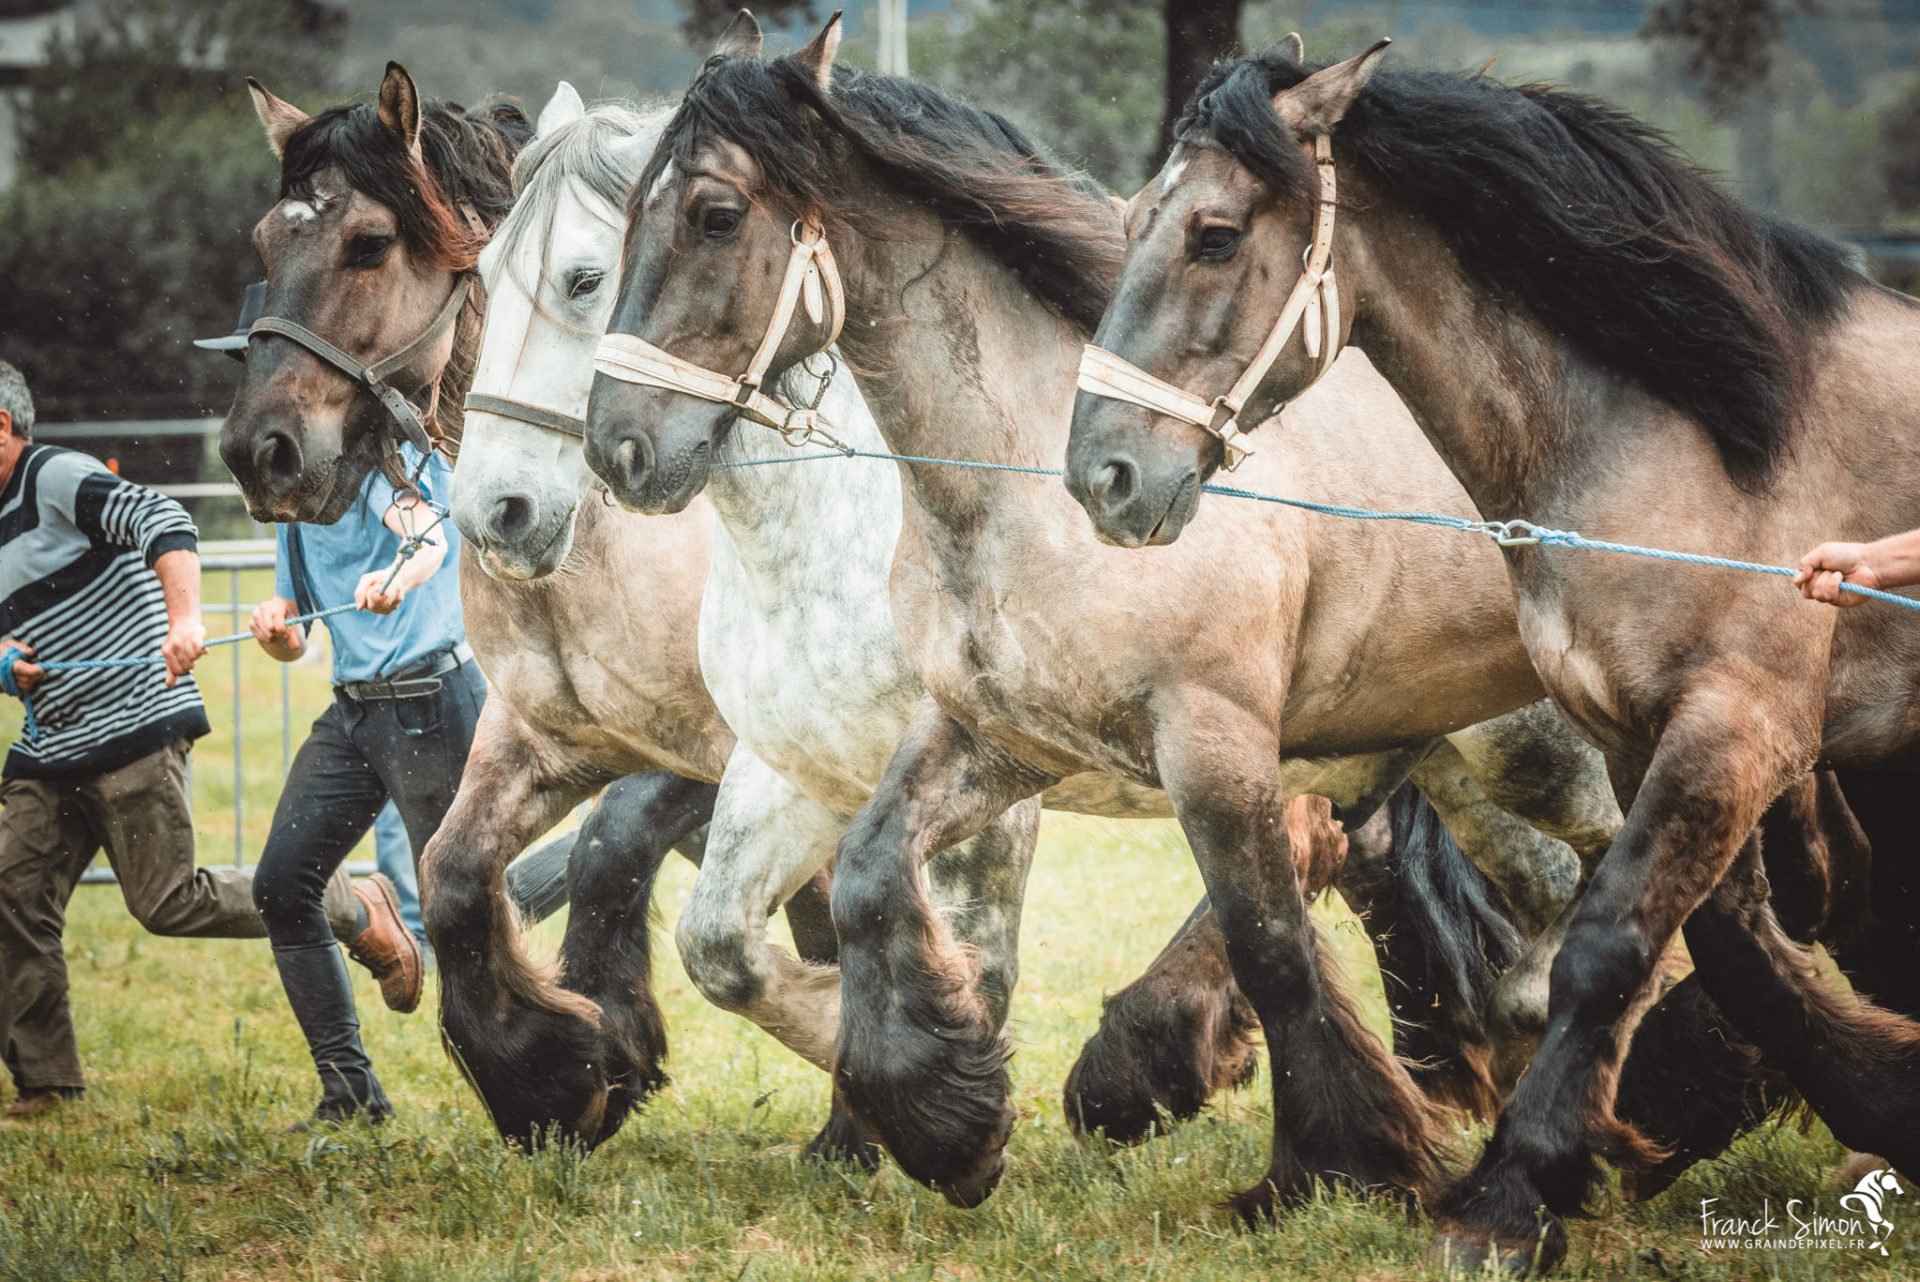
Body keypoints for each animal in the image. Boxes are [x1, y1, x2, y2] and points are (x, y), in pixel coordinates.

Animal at [582, 14, 1629, 1213]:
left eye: (714, 214)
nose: (617, 449)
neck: (1027, 490)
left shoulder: (1212, 747)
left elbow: (1270, 946)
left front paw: (1329, 1164)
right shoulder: (995, 736)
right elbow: (866, 882)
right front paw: (950, 1119)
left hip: (1540, 756)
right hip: (1454, 763)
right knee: (1546, 904)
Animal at [1067, 39, 1920, 1272]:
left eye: (1215, 236)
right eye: (1137, 217)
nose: (1103, 476)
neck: (1703, 440)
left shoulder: (1738, 729)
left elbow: (1608, 945)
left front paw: (1509, 1199)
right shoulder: (1642, 736)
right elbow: (1731, 951)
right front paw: (1884, 1099)